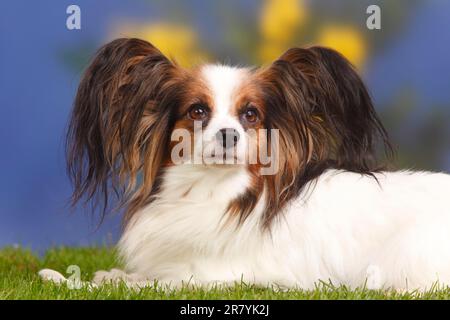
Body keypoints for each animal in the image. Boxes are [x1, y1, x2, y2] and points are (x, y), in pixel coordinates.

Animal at [39, 38, 450, 292]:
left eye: (250, 114)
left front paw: (64, 279)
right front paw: (105, 274)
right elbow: (129, 277)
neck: (211, 189)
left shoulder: (206, 277)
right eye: (197, 111)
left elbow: (141, 285)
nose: (228, 135)